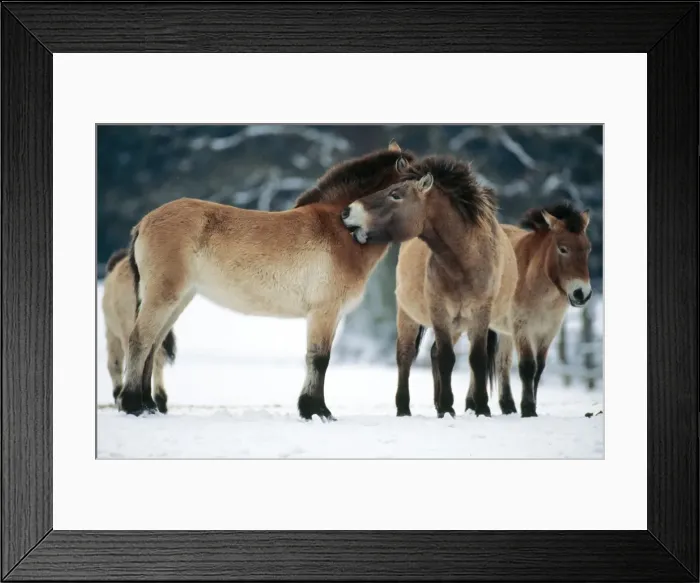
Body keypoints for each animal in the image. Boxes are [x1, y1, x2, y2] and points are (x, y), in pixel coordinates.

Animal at [117, 140, 416, 419]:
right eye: (398, 192)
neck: (340, 229)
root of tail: (145, 221)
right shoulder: (324, 312)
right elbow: (319, 359)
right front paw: (316, 411)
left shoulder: (333, 315)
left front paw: (314, 408)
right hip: (163, 296)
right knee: (140, 340)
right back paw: (132, 405)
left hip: (179, 299)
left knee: (153, 346)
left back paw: (148, 405)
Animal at [341, 155, 518, 418]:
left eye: (395, 194)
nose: (347, 211)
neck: (464, 262)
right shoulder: (439, 311)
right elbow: (446, 358)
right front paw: (446, 406)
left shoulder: (480, 314)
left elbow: (476, 359)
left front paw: (481, 408)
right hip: (409, 316)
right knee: (406, 355)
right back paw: (405, 408)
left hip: (459, 324)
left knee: (435, 353)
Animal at [494, 203, 592, 417]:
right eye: (563, 249)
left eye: (588, 248)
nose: (582, 293)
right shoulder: (522, 327)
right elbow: (527, 367)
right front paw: (528, 409)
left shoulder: (548, 331)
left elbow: (539, 369)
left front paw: (532, 407)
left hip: (504, 332)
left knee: (502, 362)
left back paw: (506, 406)